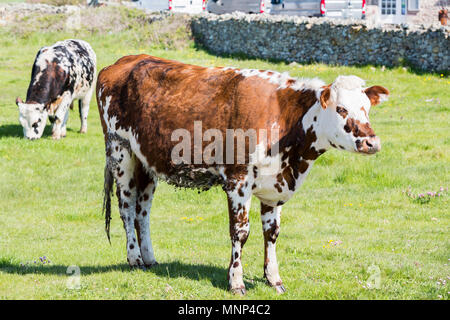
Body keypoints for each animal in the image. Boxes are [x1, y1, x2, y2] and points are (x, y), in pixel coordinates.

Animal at [96, 54, 388, 296]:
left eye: (367, 109)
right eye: (341, 109)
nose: (371, 142)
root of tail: (124, 61)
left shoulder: (274, 186)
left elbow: (272, 233)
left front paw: (274, 279)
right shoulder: (238, 182)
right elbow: (240, 232)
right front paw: (236, 281)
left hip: (146, 162)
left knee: (143, 212)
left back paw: (149, 257)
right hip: (121, 152)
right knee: (127, 209)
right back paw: (134, 258)